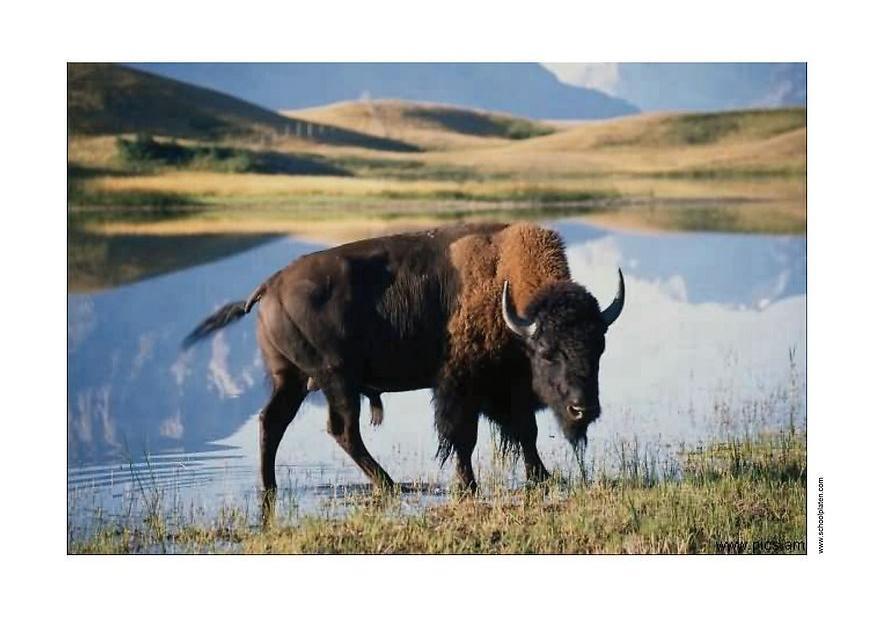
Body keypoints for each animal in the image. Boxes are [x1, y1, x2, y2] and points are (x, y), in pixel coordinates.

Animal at [184, 222, 624, 494]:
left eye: (600, 347)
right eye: (548, 352)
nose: (583, 408)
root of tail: (270, 285)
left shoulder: (507, 392)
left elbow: (525, 433)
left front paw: (544, 478)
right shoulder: (460, 386)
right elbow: (463, 437)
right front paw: (467, 484)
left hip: (290, 381)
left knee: (272, 424)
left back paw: (271, 487)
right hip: (335, 380)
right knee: (343, 430)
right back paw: (390, 484)